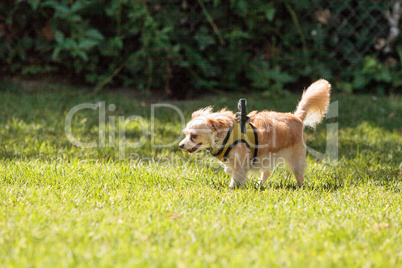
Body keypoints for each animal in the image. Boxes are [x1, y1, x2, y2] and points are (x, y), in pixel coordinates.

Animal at [179, 79, 330, 187]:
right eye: (185, 134)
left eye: (193, 136)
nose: (180, 145)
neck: (225, 135)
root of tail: (297, 117)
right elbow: (230, 170)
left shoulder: (241, 161)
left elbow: (237, 176)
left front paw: (233, 188)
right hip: (266, 157)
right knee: (267, 172)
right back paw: (260, 185)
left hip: (295, 159)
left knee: (299, 175)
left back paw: (299, 187)